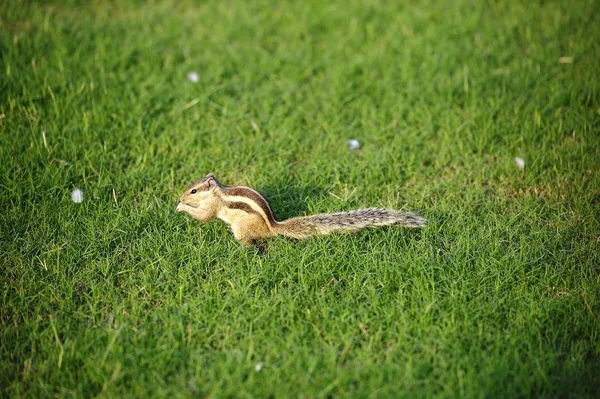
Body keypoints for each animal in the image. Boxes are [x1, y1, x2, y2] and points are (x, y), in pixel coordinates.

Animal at [175, 174, 426, 247]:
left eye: (194, 190)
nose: (180, 196)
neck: (218, 192)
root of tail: (273, 227)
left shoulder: (213, 207)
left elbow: (204, 216)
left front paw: (181, 207)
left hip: (242, 228)